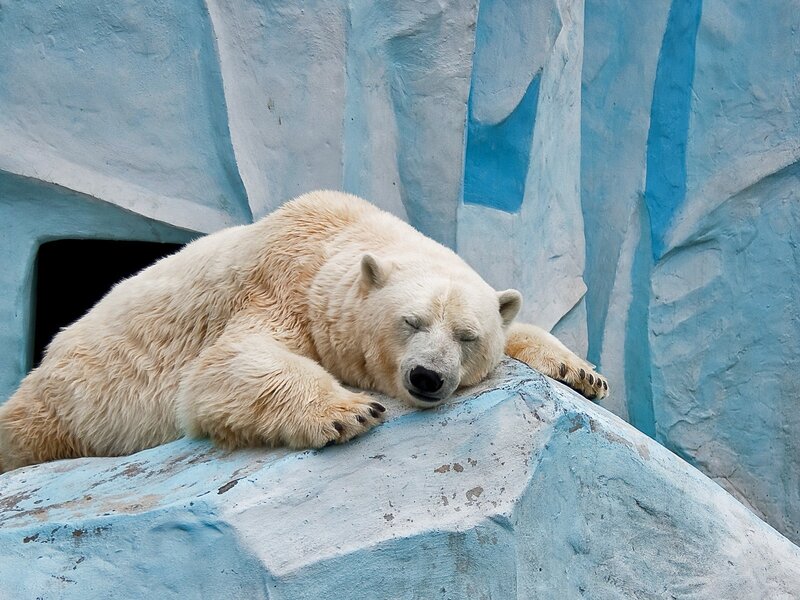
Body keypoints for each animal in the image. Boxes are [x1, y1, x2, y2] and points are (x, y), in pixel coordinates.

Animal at [0, 191, 607, 472]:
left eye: (466, 335)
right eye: (410, 321)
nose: (427, 378)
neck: (337, 237)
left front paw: (582, 373)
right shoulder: (279, 287)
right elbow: (225, 364)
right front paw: (350, 411)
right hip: (71, 396)